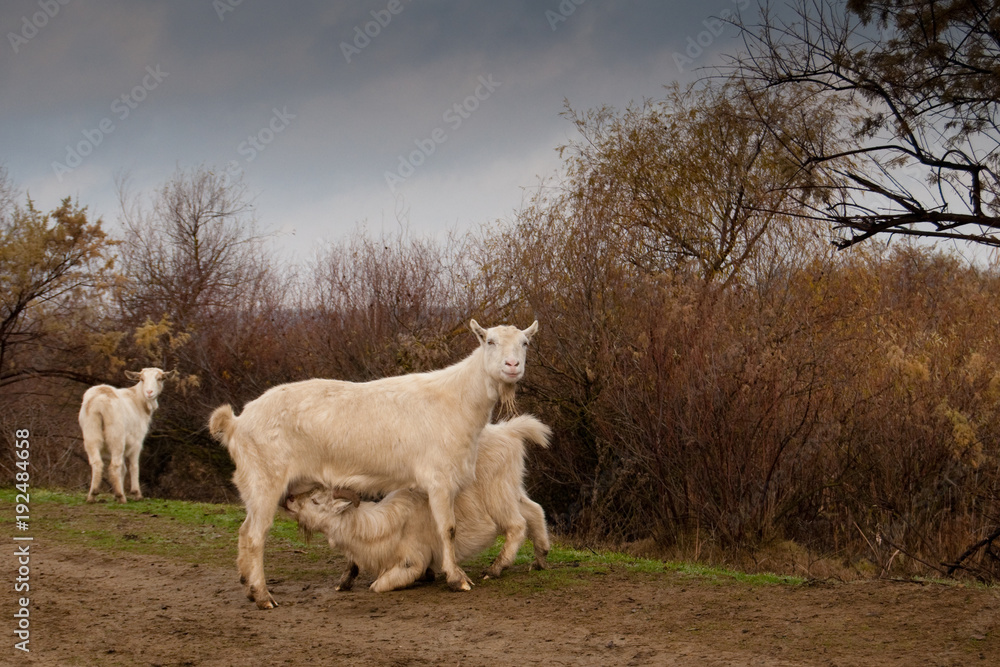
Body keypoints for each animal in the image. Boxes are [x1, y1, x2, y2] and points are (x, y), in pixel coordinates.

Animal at [78, 368, 176, 503]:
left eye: (160, 378)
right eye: (142, 379)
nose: (149, 392)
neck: (138, 400)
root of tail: (100, 400)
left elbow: (123, 469)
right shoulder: (137, 442)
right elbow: (133, 466)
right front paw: (136, 493)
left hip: (91, 431)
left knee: (97, 462)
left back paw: (92, 495)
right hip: (116, 435)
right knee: (115, 465)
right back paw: (121, 496)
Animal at [283, 415, 552, 593]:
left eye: (316, 500)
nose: (288, 499)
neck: (381, 527)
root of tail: (510, 432)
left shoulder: (411, 561)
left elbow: (377, 585)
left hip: (498, 496)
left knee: (517, 525)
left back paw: (495, 569)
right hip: (512, 489)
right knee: (534, 510)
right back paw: (540, 559)